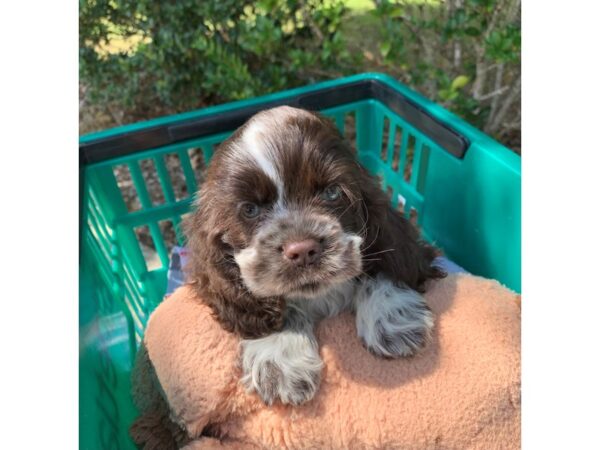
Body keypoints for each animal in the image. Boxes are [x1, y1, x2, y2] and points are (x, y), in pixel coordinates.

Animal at [188, 107, 446, 406]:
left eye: (332, 192)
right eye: (250, 209)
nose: (302, 250)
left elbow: (380, 266)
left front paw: (393, 318)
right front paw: (279, 360)